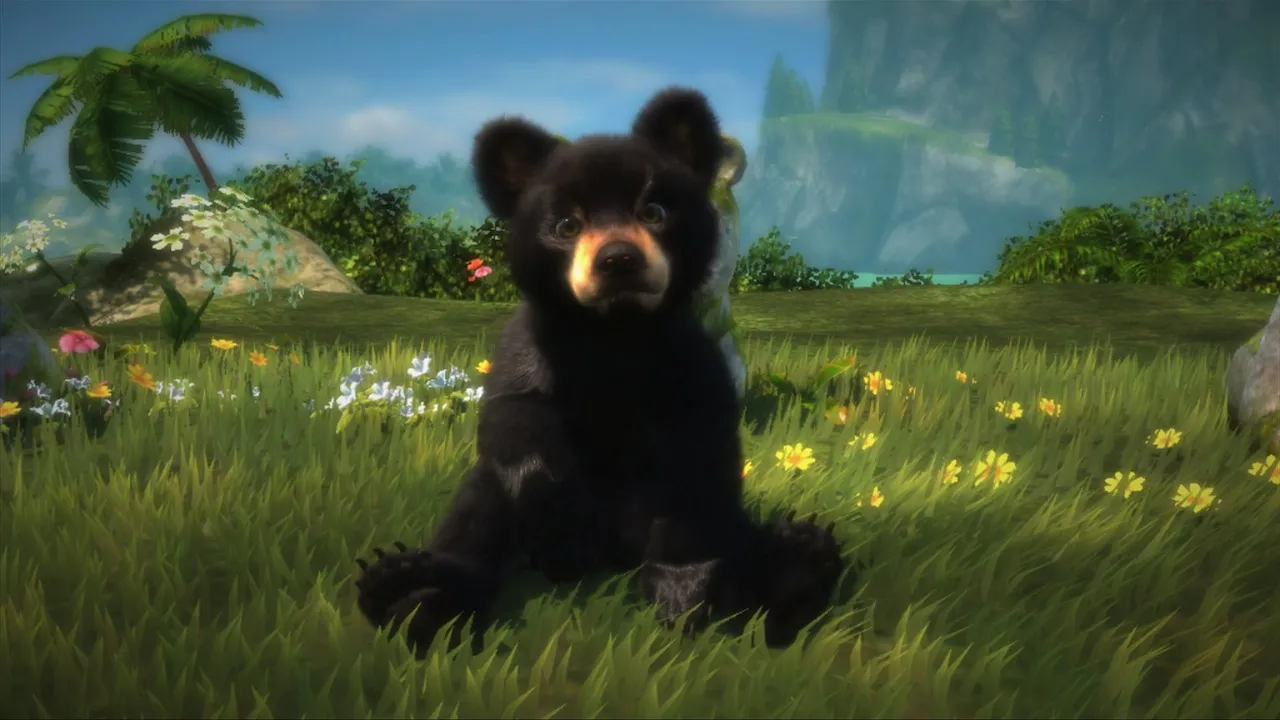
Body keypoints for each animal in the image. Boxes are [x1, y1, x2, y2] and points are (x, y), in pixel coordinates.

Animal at [354, 87, 846, 657]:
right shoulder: (529, 351)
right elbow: (510, 417)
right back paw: (406, 594)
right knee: (475, 515)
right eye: (567, 225)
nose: (618, 260)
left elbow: (700, 457)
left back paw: (797, 567)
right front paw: (554, 515)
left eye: (654, 210)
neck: (613, 330)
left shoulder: (692, 363)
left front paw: (681, 592)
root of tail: (612, 556)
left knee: (736, 531)